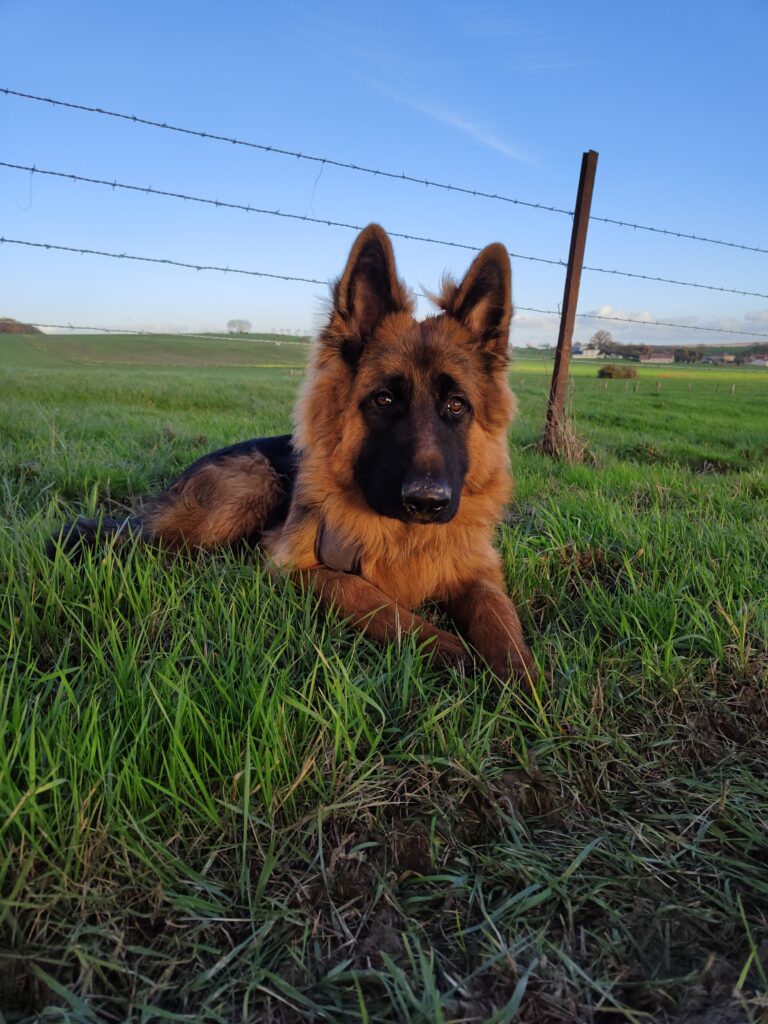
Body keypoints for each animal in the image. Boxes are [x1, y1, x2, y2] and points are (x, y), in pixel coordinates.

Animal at [51, 228, 536, 684]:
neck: (405, 536)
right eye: (383, 400)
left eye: (456, 405)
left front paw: (522, 678)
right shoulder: (298, 567)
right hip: (250, 489)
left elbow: (500, 615)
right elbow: (370, 599)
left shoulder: (478, 572)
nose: (427, 502)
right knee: (161, 547)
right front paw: (449, 648)